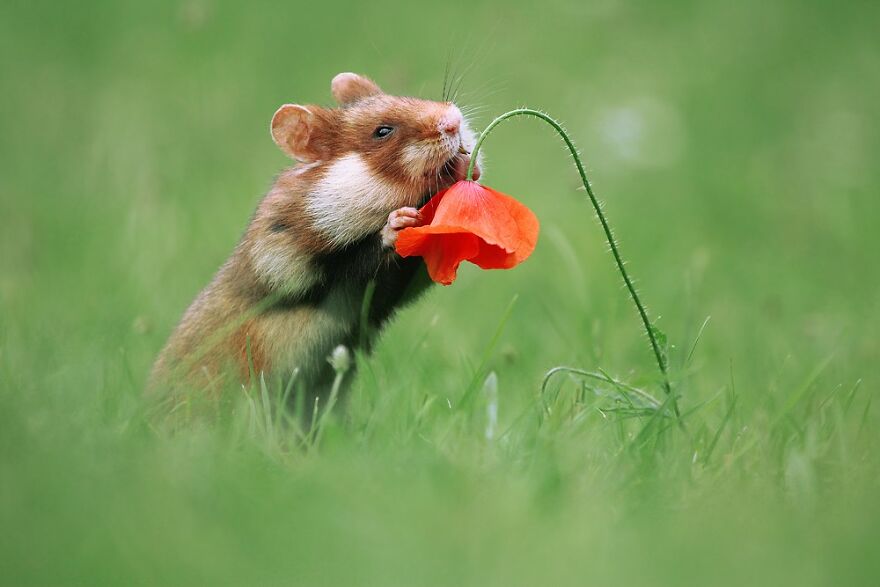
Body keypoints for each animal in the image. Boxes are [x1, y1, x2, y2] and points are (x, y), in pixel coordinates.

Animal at [150, 72, 481, 403]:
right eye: (382, 131)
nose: (454, 121)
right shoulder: (293, 270)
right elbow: (355, 265)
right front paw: (397, 225)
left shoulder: (392, 294)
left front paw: (469, 166)